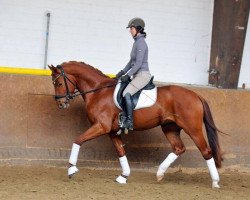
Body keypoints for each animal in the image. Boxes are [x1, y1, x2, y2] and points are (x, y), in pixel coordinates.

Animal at [48, 60, 223, 188]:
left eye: (59, 84)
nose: (61, 104)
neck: (98, 91)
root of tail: (196, 95)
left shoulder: (101, 127)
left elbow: (78, 140)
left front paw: (71, 169)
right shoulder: (111, 131)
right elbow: (120, 152)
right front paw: (123, 176)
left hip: (192, 129)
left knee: (206, 151)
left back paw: (215, 183)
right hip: (169, 127)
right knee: (179, 148)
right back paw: (159, 173)